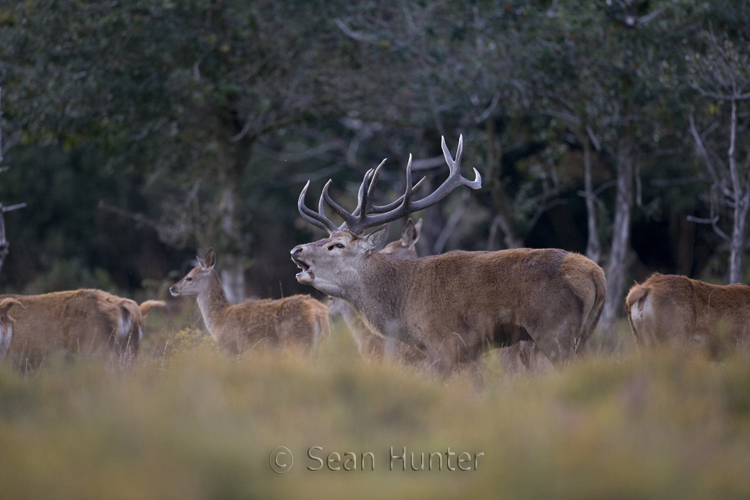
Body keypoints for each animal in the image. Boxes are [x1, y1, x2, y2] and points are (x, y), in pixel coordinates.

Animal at [169, 248, 331, 355]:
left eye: (189, 278)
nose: (172, 288)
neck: (218, 319)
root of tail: (319, 313)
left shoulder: (230, 346)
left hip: (297, 341)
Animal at [291, 135, 606, 375]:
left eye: (338, 245)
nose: (296, 249)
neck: (403, 302)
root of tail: (597, 275)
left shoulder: (443, 344)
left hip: (554, 329)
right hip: (585, 335)